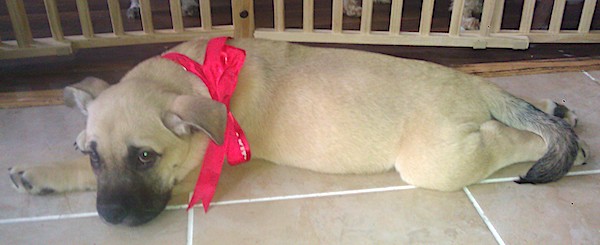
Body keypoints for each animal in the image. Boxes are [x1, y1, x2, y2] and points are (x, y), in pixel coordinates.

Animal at [9, 37, 588, 226]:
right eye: (96, 155)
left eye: (145, 157)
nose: (109, 218)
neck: (195, 73)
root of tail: (475, 85)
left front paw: (40, 171)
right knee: (518, 117)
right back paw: (561, 112)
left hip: (436, 160)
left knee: (511, 139)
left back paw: (570, 146)